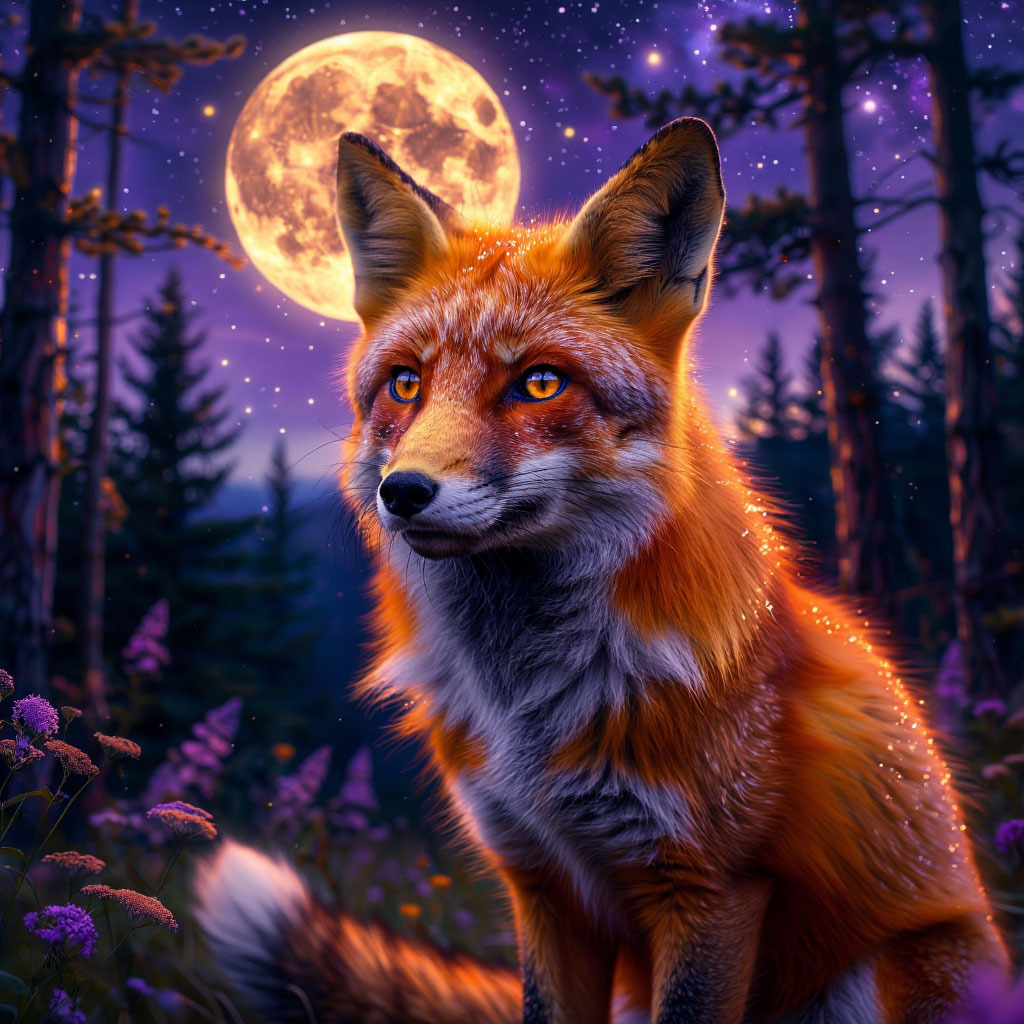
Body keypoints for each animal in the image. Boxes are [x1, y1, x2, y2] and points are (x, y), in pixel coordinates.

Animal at [195, 117, 1010, 1023]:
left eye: (539, 383)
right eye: (406, 384)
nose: (402, 492)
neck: (531, 707)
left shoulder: (711, 889)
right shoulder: (541, 882)